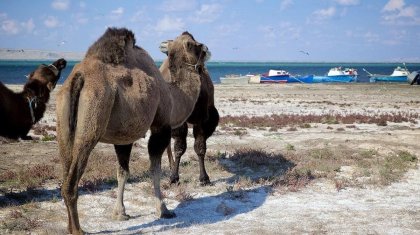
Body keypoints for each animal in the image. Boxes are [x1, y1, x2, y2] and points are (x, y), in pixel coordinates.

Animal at [56, 28, 210, 235]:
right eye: (196, 45)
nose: (207, 49)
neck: (173, 95)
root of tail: (78, 77)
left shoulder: (123, 136)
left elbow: (123, 172)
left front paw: (120, 213)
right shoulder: (161, 127)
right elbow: (155, 169)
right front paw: (164, 210)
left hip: (63, 124)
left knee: (65, 171)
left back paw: (69, 226)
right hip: (93, 115)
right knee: (72, 180)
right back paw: (78, 230)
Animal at [159, 34, 220, 185]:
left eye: (193, 45)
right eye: (169, 53)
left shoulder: (203, 119)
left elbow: (200, 147)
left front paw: (204, 178)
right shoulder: (178, 120)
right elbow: (179, 147)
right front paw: (174, 177)